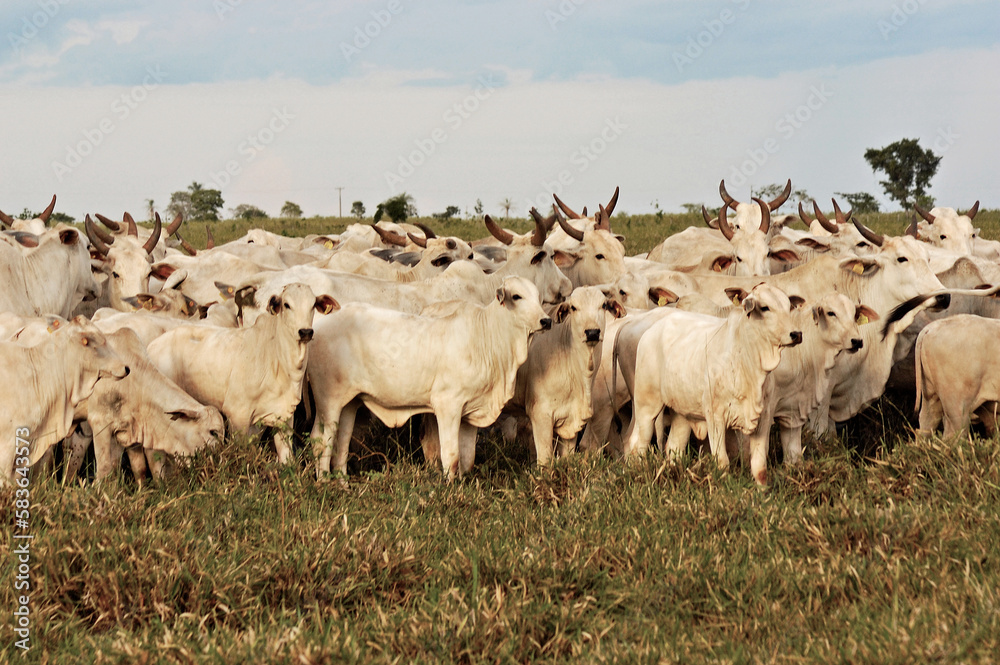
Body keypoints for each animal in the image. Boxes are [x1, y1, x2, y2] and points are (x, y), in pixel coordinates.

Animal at [146, 283, 339, 463]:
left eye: (313, 304)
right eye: (287, 304)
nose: (305, 332)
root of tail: (152, 345)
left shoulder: (283, 417)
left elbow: (285, 457)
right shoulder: (237, 415)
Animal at [306, 276, 551, 480]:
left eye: (538, 297)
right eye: (517, 296)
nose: (546, 321)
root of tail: (320, 324)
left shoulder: (470, 413)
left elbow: (467, 459)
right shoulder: (447, 406)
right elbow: (451, 457)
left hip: (350, 402)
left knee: (342, 442)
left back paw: (342, 484)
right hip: (329, 401)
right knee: (322, 440)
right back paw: (324, 483)